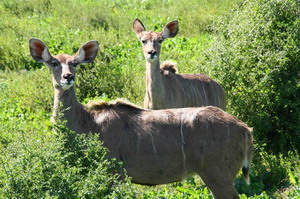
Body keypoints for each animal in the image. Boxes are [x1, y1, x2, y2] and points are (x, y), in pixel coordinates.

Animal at [29, 38, 252, 198]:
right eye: (54, 63)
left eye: (75, 63)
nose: (68, 77)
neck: (88, 122)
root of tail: (245, 129)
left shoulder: (114, 174)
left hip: (218, 176)